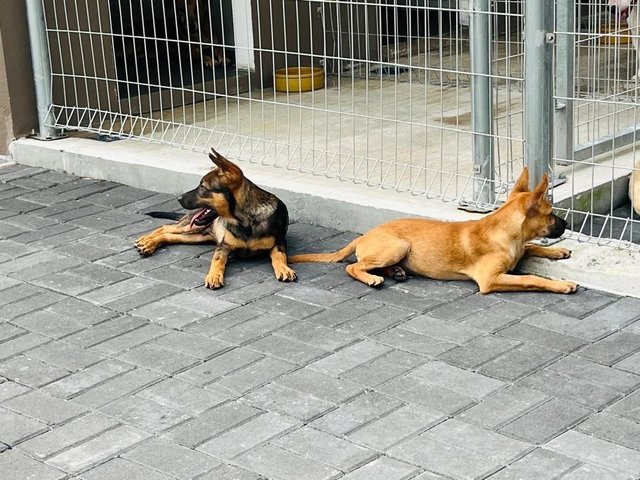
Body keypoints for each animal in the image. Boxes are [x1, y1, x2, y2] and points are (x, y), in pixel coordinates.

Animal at [136, 148, 296, 286]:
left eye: (202, 187)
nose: (179, 198)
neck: (245, 221)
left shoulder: (279, 242)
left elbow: (280, 256)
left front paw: (284, 269)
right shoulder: (223, 246)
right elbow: (217, 260)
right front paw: (213, 275)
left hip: (197, 236)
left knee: (169, 236)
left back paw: (149, 244)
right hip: (191, 228)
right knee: (165, 227)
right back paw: (146, 241)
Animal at [288, 169, 576, 296]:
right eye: (551, 212)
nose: (566, 226)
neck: (505, 233)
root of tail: (363, 236)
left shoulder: (518, 251)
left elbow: (531, 247)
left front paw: (559, 251)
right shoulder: (490, 280)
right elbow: (530, 278)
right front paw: (562, 284)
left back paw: (397, 272)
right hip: (398, 246)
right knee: (353, 267)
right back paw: (373, 278)